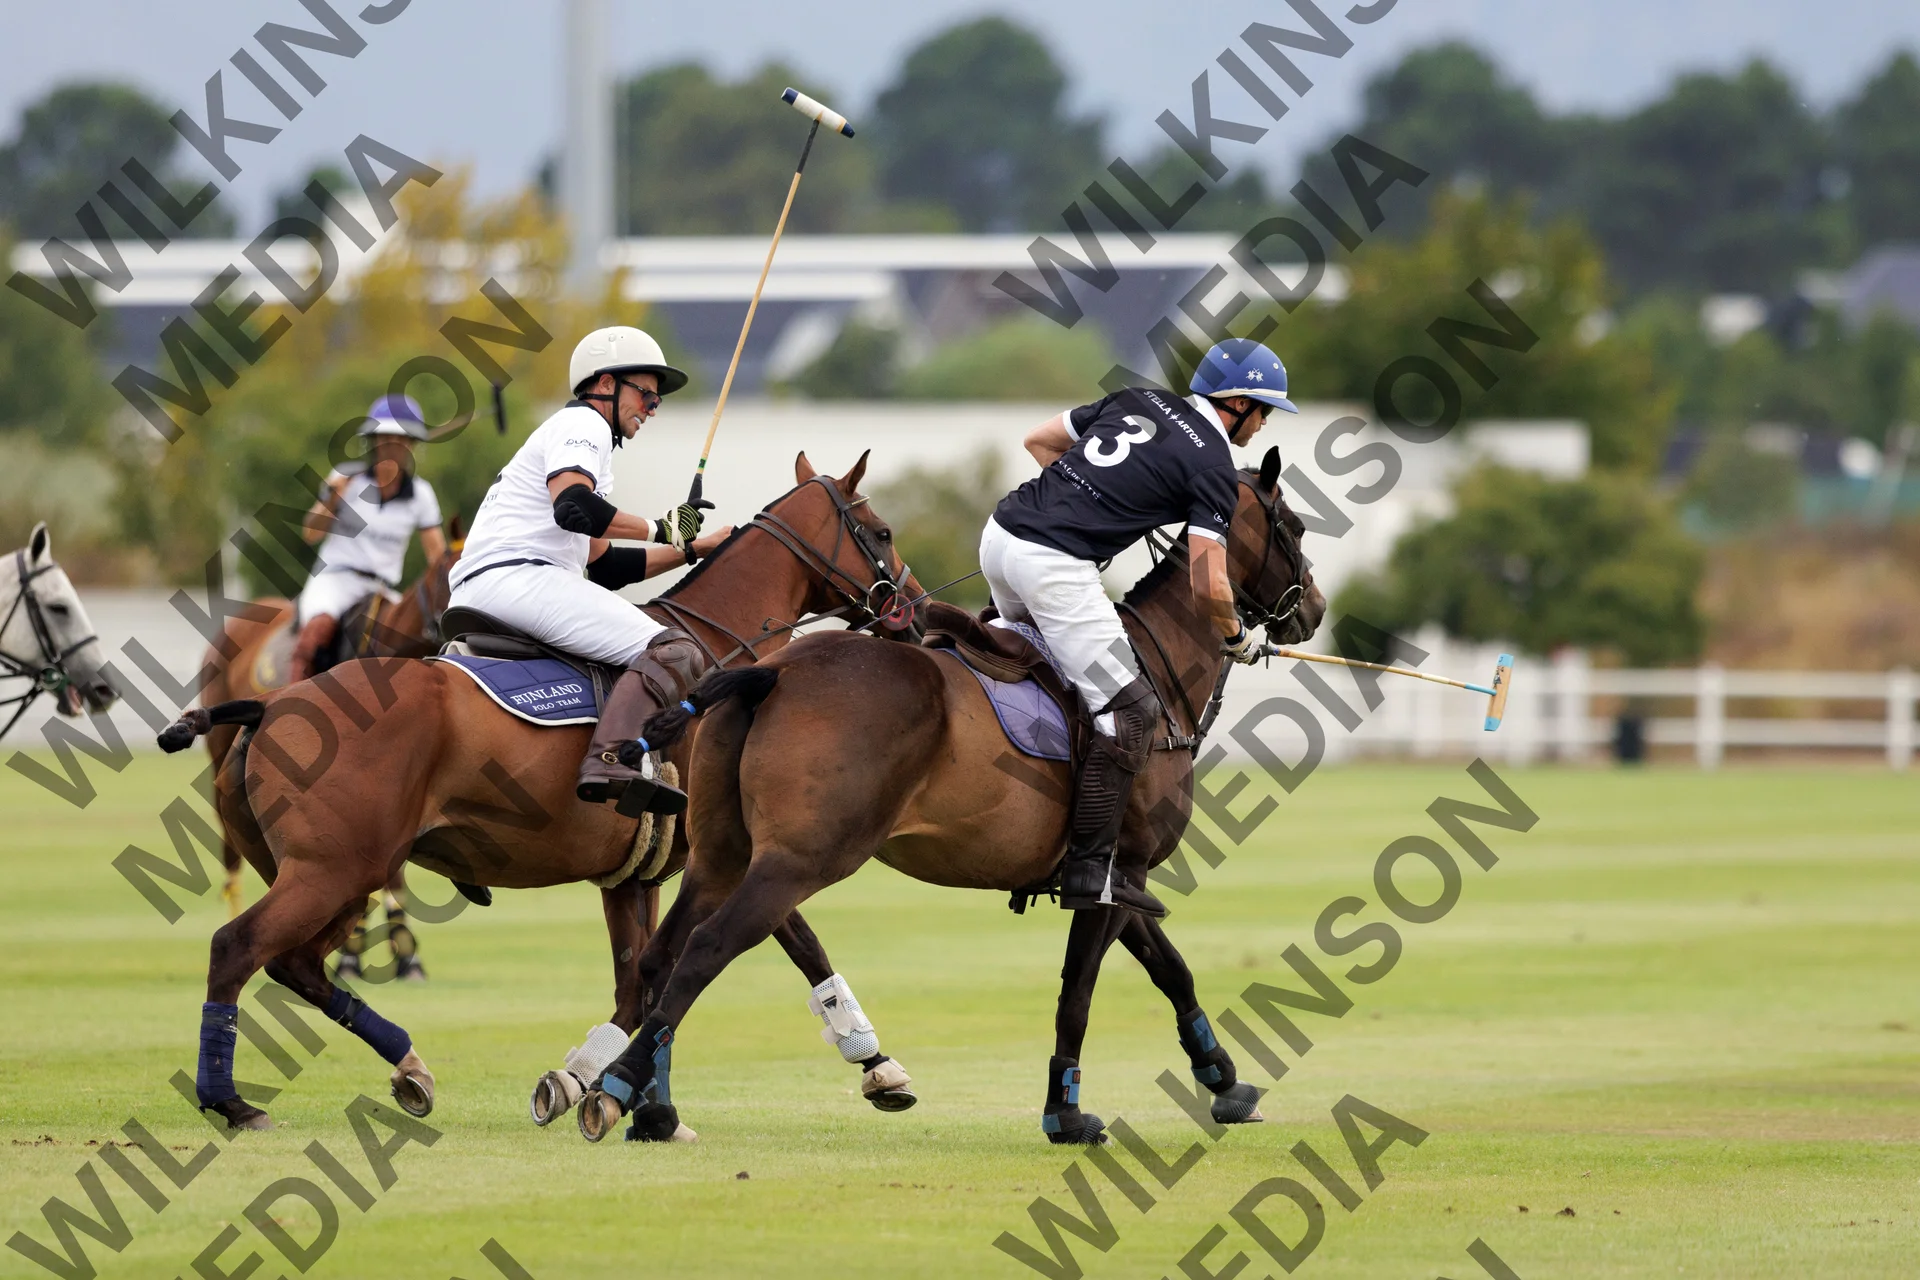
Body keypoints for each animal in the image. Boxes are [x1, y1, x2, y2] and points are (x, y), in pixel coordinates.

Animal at [573, 447, 1327, 1145]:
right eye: (1292, 524)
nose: (1314, 608)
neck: (1158, 670)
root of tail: (770, 675)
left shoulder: (1117, 878)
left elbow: (1172, 970)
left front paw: (1224, 1081)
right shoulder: (1118, 868)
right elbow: (1079, 992)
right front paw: (1066, 1112)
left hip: (720, 854)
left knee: (660, 955)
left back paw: (651, 1105)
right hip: (798, 860)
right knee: (705, 949)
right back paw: (617, 1086)